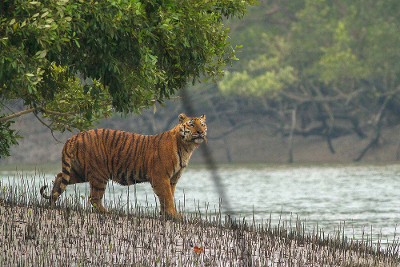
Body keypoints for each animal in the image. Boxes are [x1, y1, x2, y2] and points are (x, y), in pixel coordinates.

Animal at [40, 114, 206, 219]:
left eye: (203, 124)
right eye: (191, 124)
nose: (201, 132)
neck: (187, 147)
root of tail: (75, 136)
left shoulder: (172, 179)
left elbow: (168, 196)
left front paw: (167, 214)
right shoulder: (161, 177)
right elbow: (167, 197)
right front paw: (173, 215)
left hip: (80, 171)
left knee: (60, 176)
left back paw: (52, 201)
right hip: (99, 173)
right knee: (94, 197)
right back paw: (107, 211)